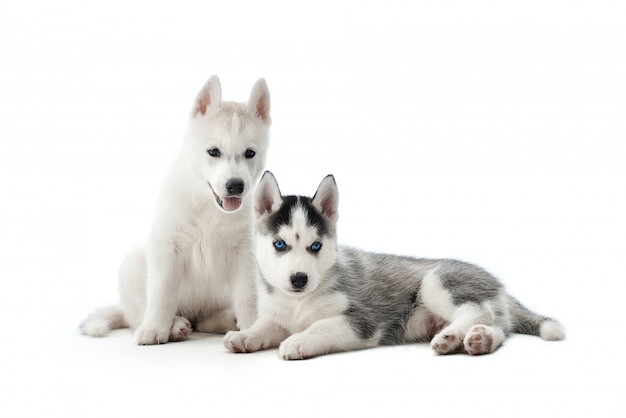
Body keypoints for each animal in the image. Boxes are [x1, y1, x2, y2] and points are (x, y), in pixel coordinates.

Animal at [81, 76, 270, 344]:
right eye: (213, 151)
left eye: (250, 153)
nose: (235, 186)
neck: (208, 206)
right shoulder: (167, 246)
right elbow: (162, 293)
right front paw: (155, 329)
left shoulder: (246, 252)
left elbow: (248, 295)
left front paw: (252, 328)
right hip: (132, 265)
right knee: (140, 313)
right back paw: (175, 325)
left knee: (204, 319)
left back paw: (224, 320)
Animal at [224, 171, 564, 360]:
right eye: (280, 245)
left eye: (316, 246)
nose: (299, 279)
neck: (298, 302)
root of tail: (498, 284)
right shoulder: (279, 316)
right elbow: (264, 326)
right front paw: (244, 336)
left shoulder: (363, 321)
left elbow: (321, 326)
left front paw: (298, 340)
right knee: (499, 328)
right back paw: (480, 339)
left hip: (437, 282)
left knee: (478, 310)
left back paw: (452, 337)